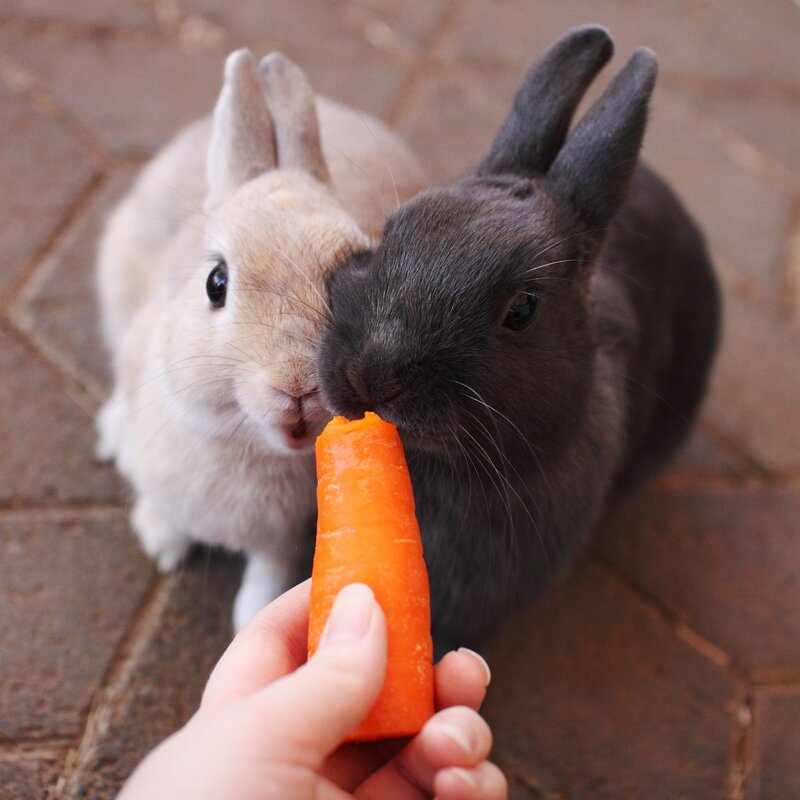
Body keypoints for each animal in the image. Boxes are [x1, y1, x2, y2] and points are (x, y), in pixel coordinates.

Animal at [95, 49, 426, 631]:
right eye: (216, 283)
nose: (298, 386)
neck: (250, 445)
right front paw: (161, 543)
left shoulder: (285, 539)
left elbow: (267, 576)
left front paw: (249, 619)